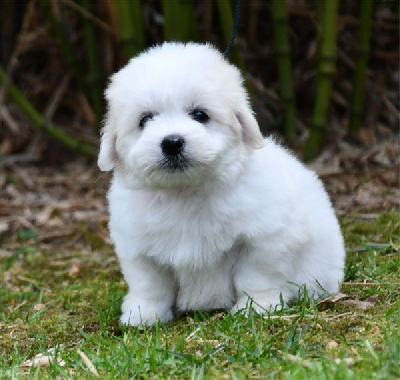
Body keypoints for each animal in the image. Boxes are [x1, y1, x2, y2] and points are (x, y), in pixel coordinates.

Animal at [98, 42, 346, 326]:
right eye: (145, 120)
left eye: (200, 115)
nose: (172, 142)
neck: (185, 190)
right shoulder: (138, 249)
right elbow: (150, 284)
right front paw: (144, 314)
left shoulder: (264, 239)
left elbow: (256, 276)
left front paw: (255, 307)